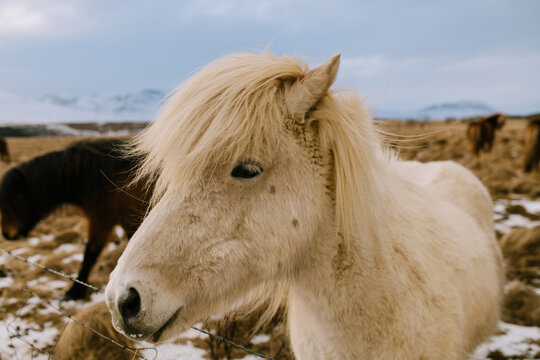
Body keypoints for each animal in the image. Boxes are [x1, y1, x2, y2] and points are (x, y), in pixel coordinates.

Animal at [0, 136, 152, 300]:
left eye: (16, 198)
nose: (6, 234)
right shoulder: (125, 222)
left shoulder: (101, 221)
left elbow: (89, 255)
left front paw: (75, 291)